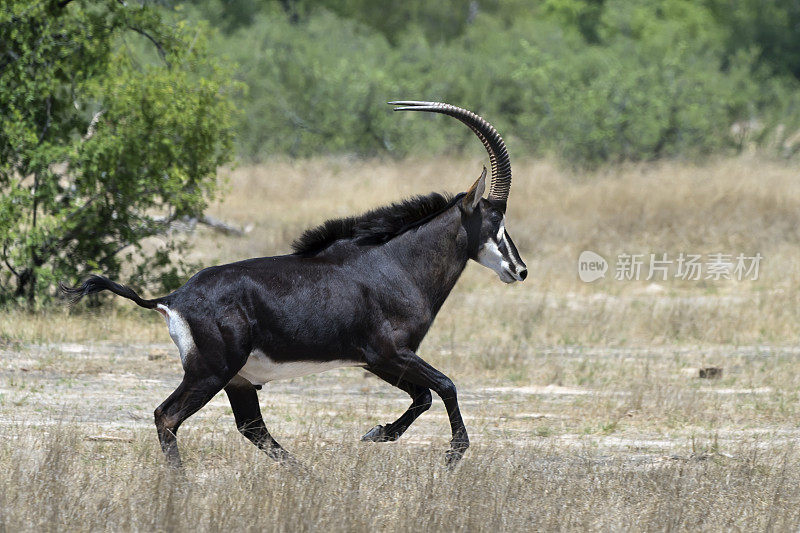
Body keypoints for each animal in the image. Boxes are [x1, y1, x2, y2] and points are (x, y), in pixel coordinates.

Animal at [61, 101, 524, 466]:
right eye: (496, 221)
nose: (520, 271)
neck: (394, 263)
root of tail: (172, 297)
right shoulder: (389, 352)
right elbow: (444, 386)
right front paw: (451, 454)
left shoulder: (375, 360)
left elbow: (423, 396)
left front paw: (378, 433)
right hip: (212, 371)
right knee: (168, 416)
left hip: (238, 379)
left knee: (252, 429)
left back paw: (307, 475)